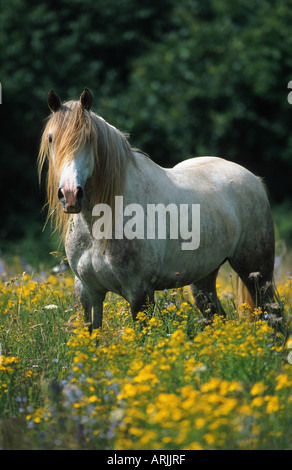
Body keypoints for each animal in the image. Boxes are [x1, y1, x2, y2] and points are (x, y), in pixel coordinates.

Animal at [38, 89, 278, 330]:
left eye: (89, 138)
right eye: (51, 138)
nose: (70, 195)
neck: (99, 227)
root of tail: (253, 179)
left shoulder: (139, 293)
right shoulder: (87, 292)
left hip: (257, 273)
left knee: (274, 316)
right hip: (204, 277)